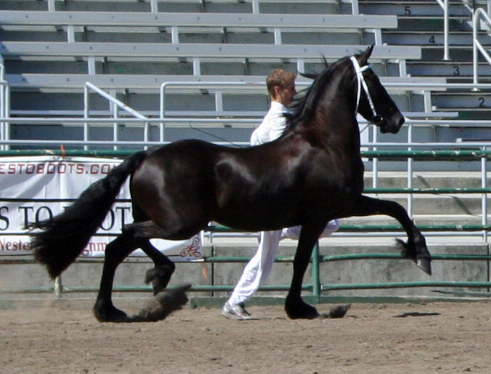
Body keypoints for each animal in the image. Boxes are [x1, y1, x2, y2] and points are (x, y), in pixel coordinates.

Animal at [30, 46, 432, 322]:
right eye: (374, 81)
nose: (396, 120)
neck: (322, 142)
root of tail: (146, 155)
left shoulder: (331, 211)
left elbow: (391, 210)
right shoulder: (331, 210)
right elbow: (313, 254)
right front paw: (421, 256)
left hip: (163, 218)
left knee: (120, 245)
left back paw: (127, 300)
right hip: (180, 223)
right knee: (126, 238)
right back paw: (141, 291)